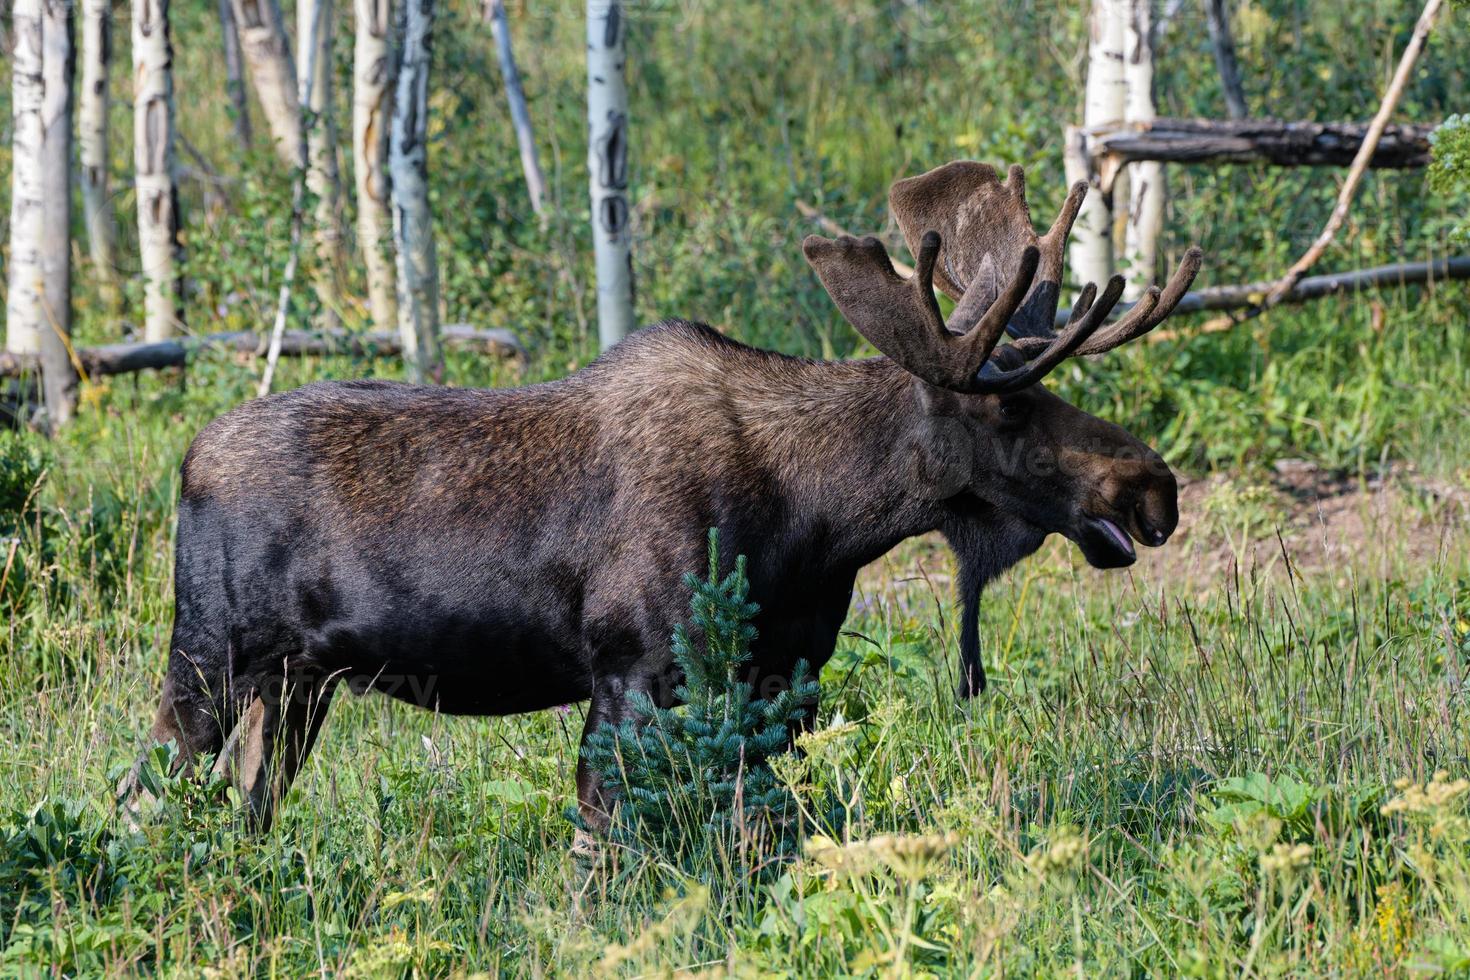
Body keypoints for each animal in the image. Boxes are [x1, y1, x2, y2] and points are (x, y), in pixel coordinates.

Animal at [129, 163, 1205, 834]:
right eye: (1013, 403)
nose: (1153, 487)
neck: (817, 525)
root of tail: (185, 461)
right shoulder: (634, 669)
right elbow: (609, 843)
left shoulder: (780, 675)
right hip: (208, 663)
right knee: (147, 797)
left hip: (295, 686)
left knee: (246, 809)